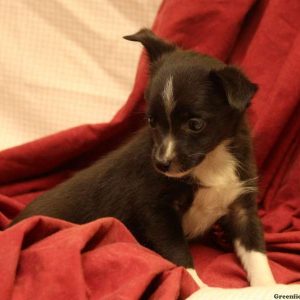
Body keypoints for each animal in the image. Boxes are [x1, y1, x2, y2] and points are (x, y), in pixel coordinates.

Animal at [9, 28, 276, 288]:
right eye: (151, 121)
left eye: (195, 124)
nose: (161, 164)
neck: (212, 159)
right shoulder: (156, 211)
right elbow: (180, 257)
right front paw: (201, 288)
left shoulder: (241, 206)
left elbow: (257, 252)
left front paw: (269, 285)